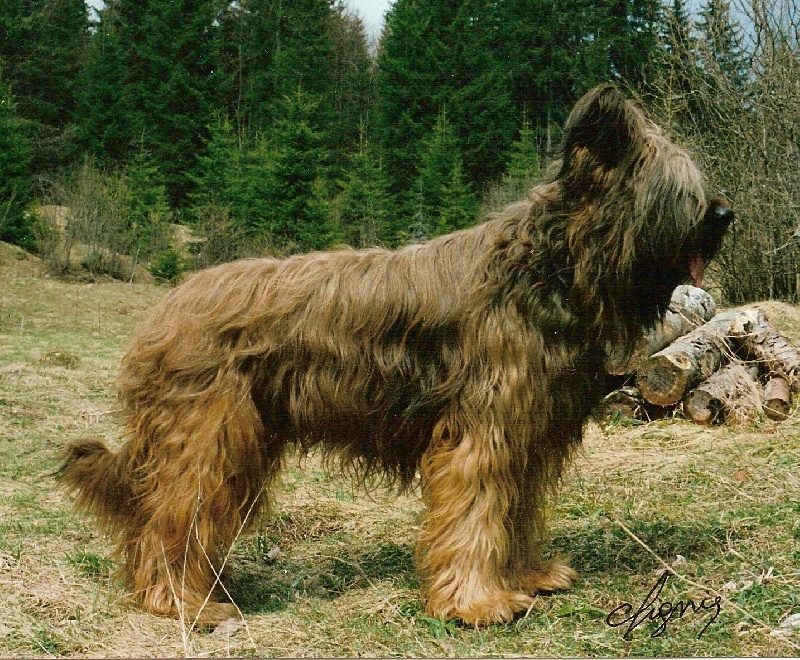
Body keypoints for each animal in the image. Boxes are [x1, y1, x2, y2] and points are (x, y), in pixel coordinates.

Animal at [57, 85, 732, 628]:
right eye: (674, 192)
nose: (725, 214)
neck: (548, 265)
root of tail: (164, 311)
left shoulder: (527, 432)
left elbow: (512, 513)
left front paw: (525, 578)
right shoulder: (482, 430)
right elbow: (477, 513)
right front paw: (475, 603)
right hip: (206, 437)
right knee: (168, 517)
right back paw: (183, 601)